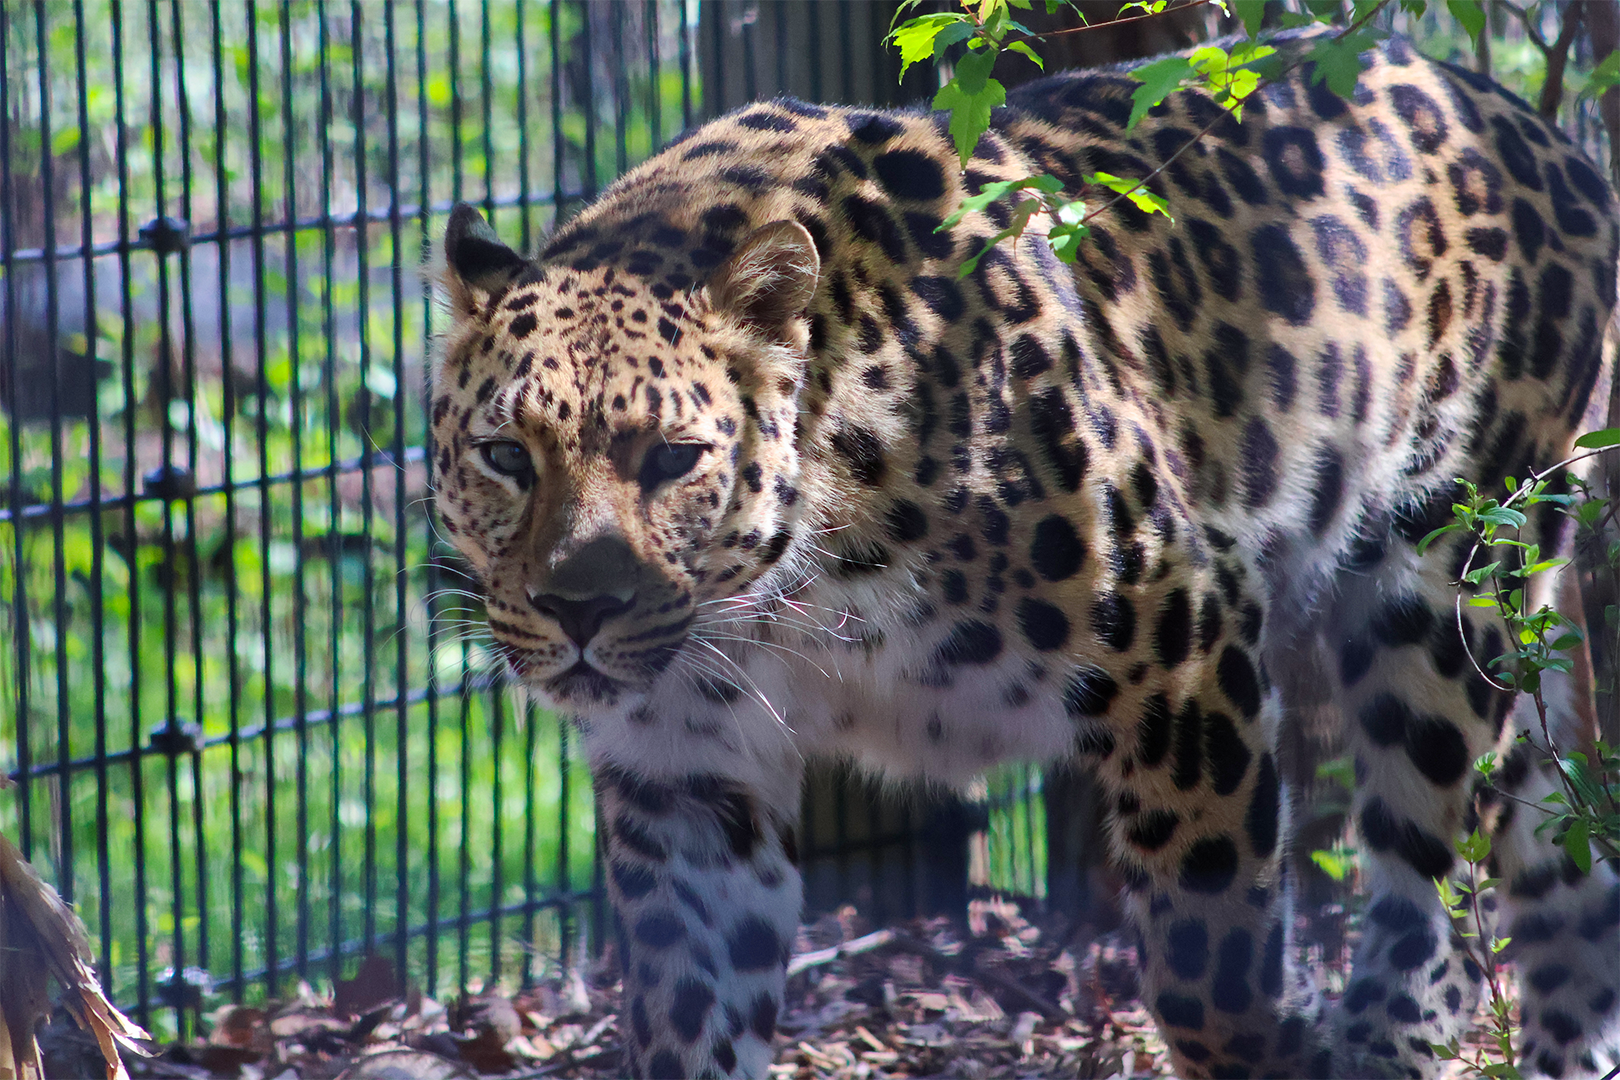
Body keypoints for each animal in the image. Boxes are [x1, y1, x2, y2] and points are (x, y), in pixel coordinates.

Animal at [434, 29, 1620, 1080]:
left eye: (673, 459)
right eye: (506, 455)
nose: (578, 607)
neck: (790, 593)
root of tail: (1542, 133)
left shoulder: (1183, 644)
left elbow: (1211, 963)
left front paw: (1282, 1050)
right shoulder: (683, 770)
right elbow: (689, 1015)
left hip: (1443, 578)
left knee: (1439, 888)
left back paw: (1378, 1040)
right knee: (1553, 829)